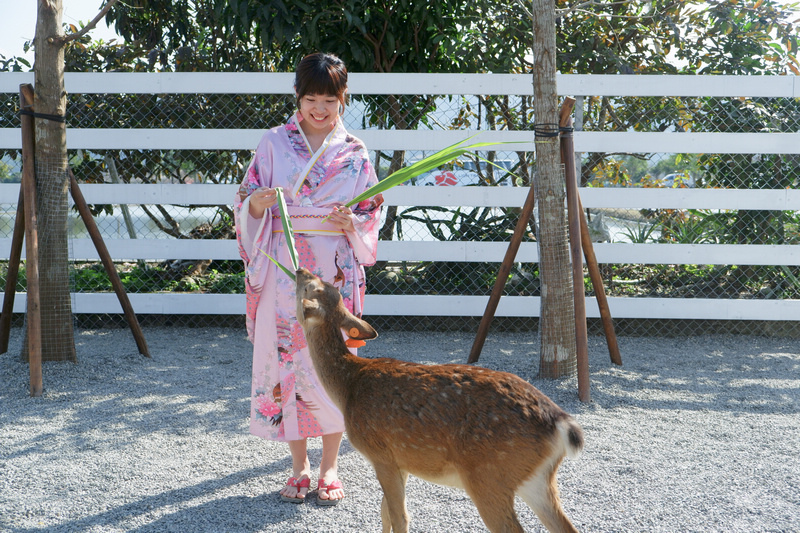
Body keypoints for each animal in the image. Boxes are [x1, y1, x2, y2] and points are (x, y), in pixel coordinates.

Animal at [294, 266, 580, 532]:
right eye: (326, 285)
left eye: (309, 288)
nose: (299, 269)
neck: (348, 388)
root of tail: (562, 424)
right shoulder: (402, 459)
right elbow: (385, 510)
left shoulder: (381, 454)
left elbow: (399, 516)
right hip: (537, 479)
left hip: (489, 474)